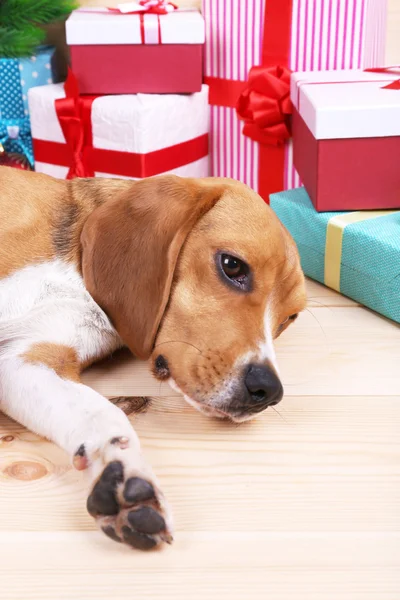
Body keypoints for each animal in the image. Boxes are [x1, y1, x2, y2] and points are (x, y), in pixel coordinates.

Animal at [0, 166, 306, 552]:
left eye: (288, 319)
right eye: (232, 265)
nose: (267, 390)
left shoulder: (26, 358)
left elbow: (104, 414)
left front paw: (124, 474)